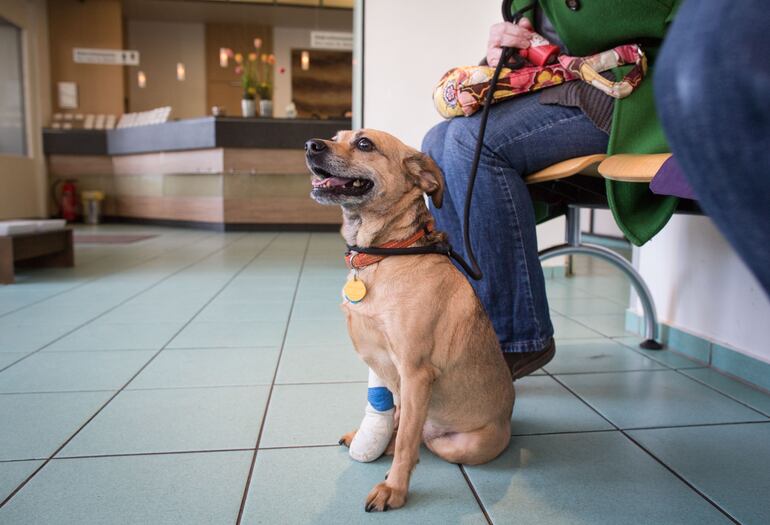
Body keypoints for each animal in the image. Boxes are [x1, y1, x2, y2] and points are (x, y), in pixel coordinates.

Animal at [304, 129, 512, 510]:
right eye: (335, 136)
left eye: (364, 144)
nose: (311, 146)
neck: (386, 254)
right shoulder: (392, 372)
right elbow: (398, 422)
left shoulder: (415, 373)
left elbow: (405, 444)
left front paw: (394, 489)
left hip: (463, 444)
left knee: (421, 440)